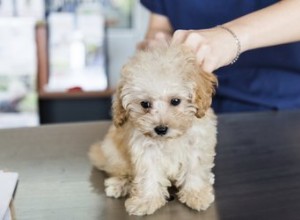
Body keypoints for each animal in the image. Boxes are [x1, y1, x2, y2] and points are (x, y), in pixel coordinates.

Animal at [89, 43, 218, 216]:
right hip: (114, 154)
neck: (169, 140)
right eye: (145, 104)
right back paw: (118, 184)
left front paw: (196, 194)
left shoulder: (197, 146)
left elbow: (194, 170)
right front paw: (146, 200)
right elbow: (148, 176)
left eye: (175, 101)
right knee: (120, 171)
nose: (161, 129)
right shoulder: (146, 151)